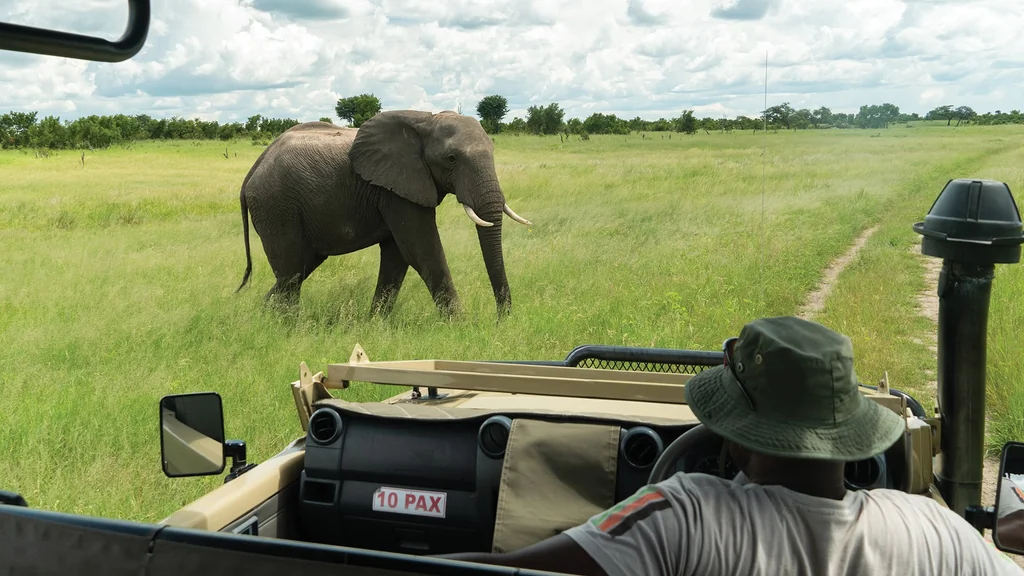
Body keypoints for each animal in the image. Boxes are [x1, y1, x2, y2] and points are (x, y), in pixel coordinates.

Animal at [234, 110, 532, 318]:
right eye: (451, 159)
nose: (501, 319)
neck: (427, 120)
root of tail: (252, 171)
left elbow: (397, 256)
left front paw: (376, 323)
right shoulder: (396, 190)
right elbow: (422, 250)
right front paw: (460, 324)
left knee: (298, 269)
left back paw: (262, 315)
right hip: (277, 206)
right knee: (291, 272)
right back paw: (289, 326)